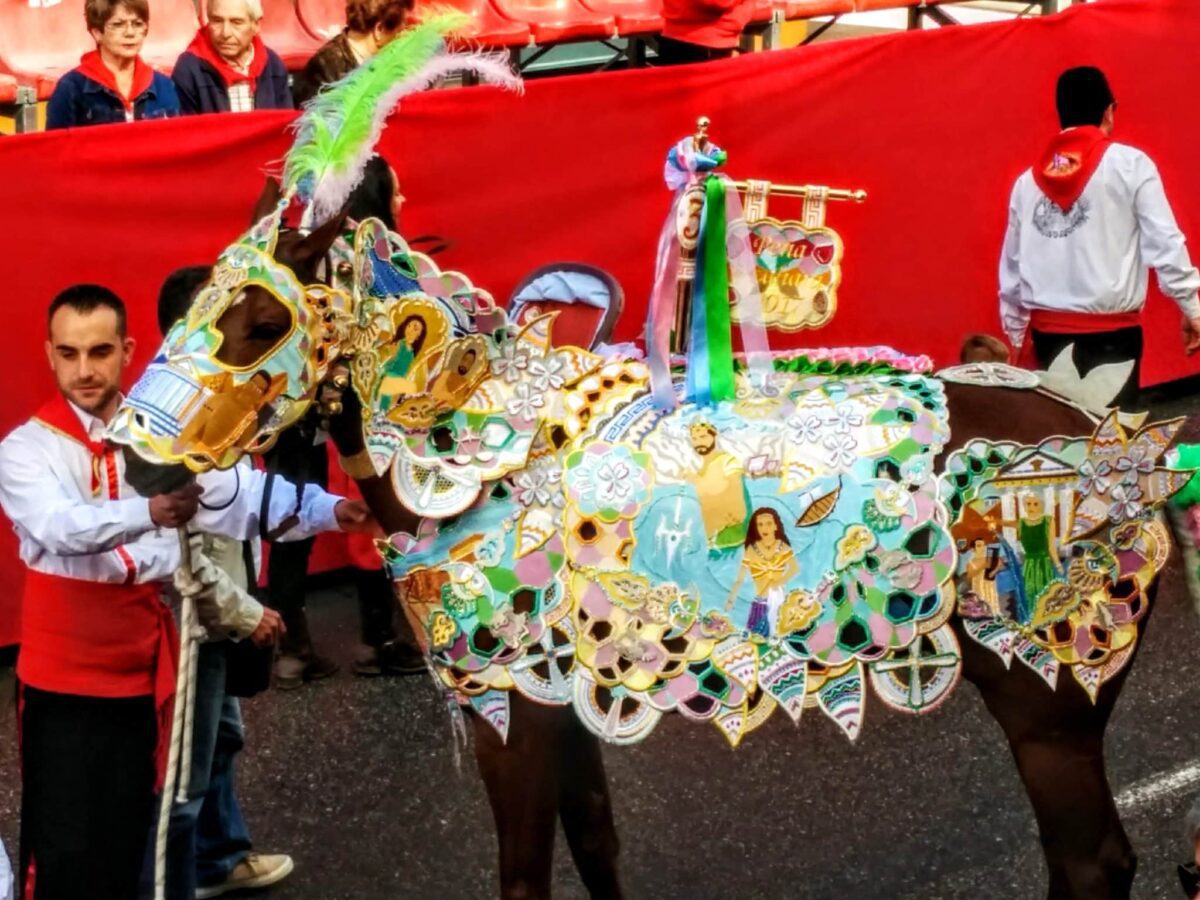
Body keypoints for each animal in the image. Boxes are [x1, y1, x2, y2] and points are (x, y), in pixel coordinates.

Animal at [108, 21, 1195, 900]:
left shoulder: (512, 713)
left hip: (1051, 699)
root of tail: (1119, 446)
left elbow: (525, 876)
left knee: (1094, 861)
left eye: (257, 323)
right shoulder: (562, 705)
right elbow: (597, 844)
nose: (138, 462)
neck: (483, 465)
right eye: (197, 298)